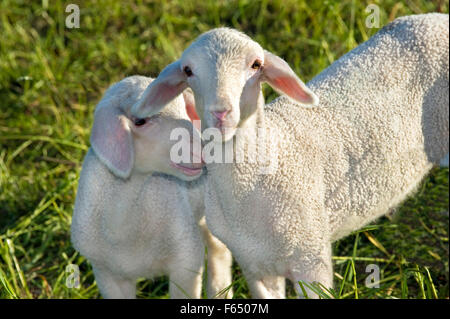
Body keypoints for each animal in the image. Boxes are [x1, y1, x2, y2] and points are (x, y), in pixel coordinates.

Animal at [71, 75, 232, 300]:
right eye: (140, 121)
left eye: (183, 108)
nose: (205, 149)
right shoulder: (106, 273)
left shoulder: (186, 259)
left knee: (220, 248)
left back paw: (220, 289)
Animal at [132, 13, 448, 298]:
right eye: (188, 70)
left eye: (256, 64)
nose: (221, 112)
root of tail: (435, 19)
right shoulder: (255, 264)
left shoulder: (312, 259)